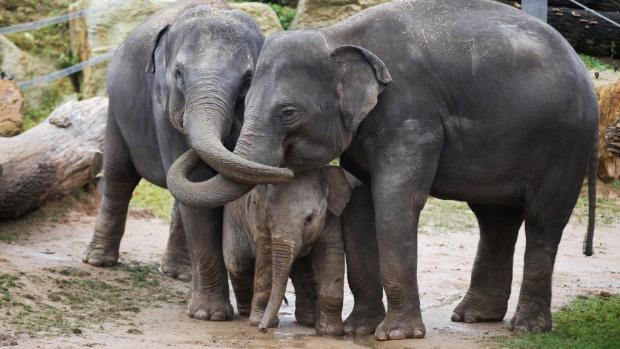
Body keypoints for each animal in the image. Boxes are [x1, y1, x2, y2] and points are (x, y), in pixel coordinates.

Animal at [81, 0, 290, 320]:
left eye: (247, 80)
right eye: (178, 73)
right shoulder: (164, 108)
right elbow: (201, 193)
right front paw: (210, 315)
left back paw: (178, 274)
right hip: (116, 111)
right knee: (119, 177)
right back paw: (98, 261)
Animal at [222, 166, 358, 334]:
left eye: (309, 219)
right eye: (268, 217)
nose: (263, 330)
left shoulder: (331, 216)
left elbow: (331, 254)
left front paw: (330, 332)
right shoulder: (258, 217)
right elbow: (266, 257)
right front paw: (258, 322)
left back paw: (308, 320)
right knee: (238, 264)